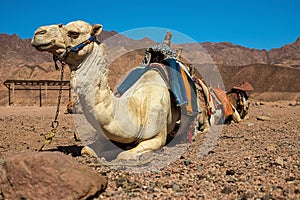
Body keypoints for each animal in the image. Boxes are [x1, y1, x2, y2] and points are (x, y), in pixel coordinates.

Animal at [31, 20, 202, 160]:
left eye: (74, 33)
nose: (38, 32)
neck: (135, 109)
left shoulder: (157, 137)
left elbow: (124, 155)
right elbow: (87, 149)